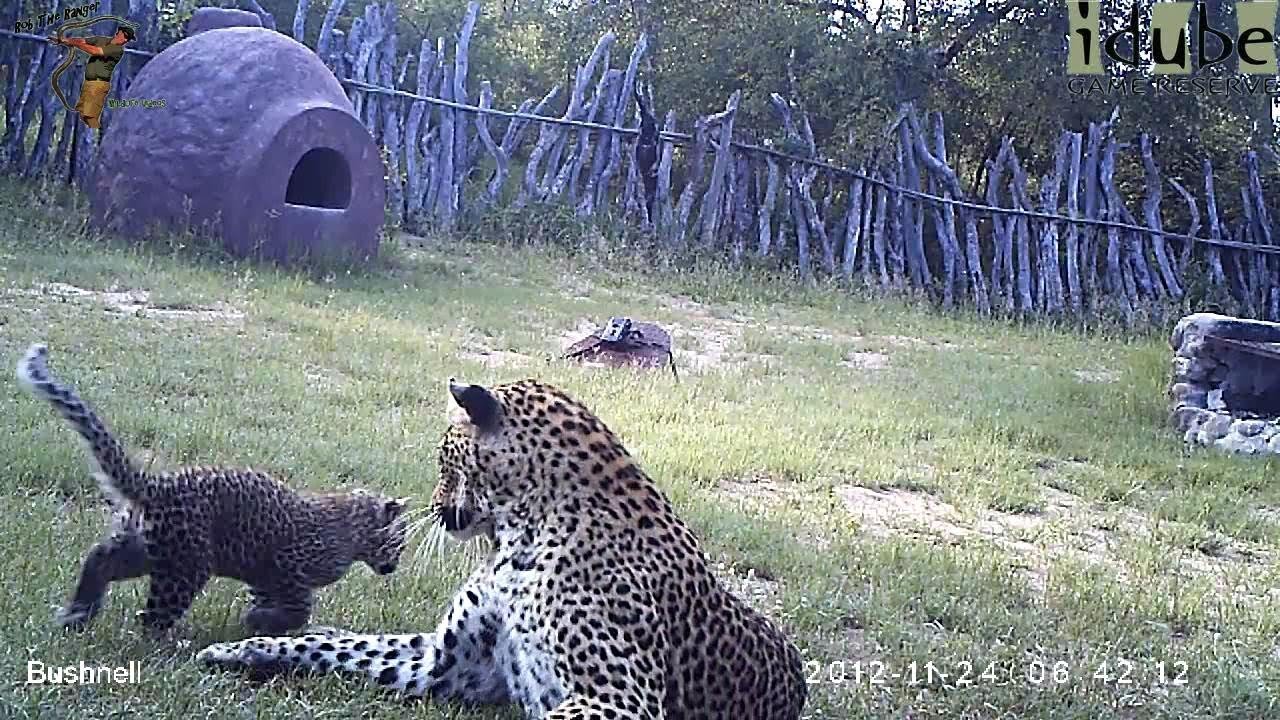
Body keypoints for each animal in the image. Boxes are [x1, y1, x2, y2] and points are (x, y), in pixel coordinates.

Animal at [195, 379, 803, 712]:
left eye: (444, 455)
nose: (433, 504)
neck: (519, 537)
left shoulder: (615, 698)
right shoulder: (446, 662)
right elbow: (338, 647)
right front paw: (241, 650)